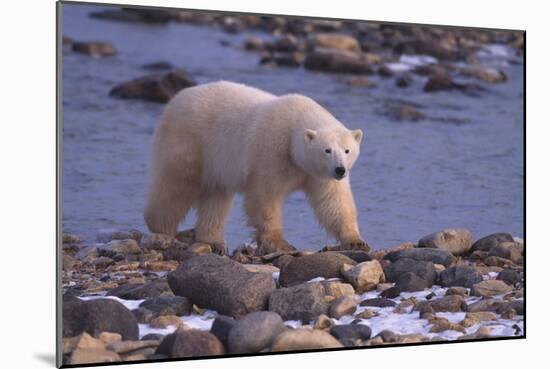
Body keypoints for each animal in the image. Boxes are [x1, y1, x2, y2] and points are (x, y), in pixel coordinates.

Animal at [144, 80, 368, 253]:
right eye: (327, 150)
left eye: (347, 150)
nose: (340, 170)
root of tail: (174, 100)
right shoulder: (271, 152)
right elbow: (265, 196)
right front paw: (279, 243)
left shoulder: (318, 174)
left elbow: (334, 201)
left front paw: (356, 241)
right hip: (189, 142)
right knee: (177, 186)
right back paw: (162, 228)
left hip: (216, 162)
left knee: (216, 196)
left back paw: (213, 241)